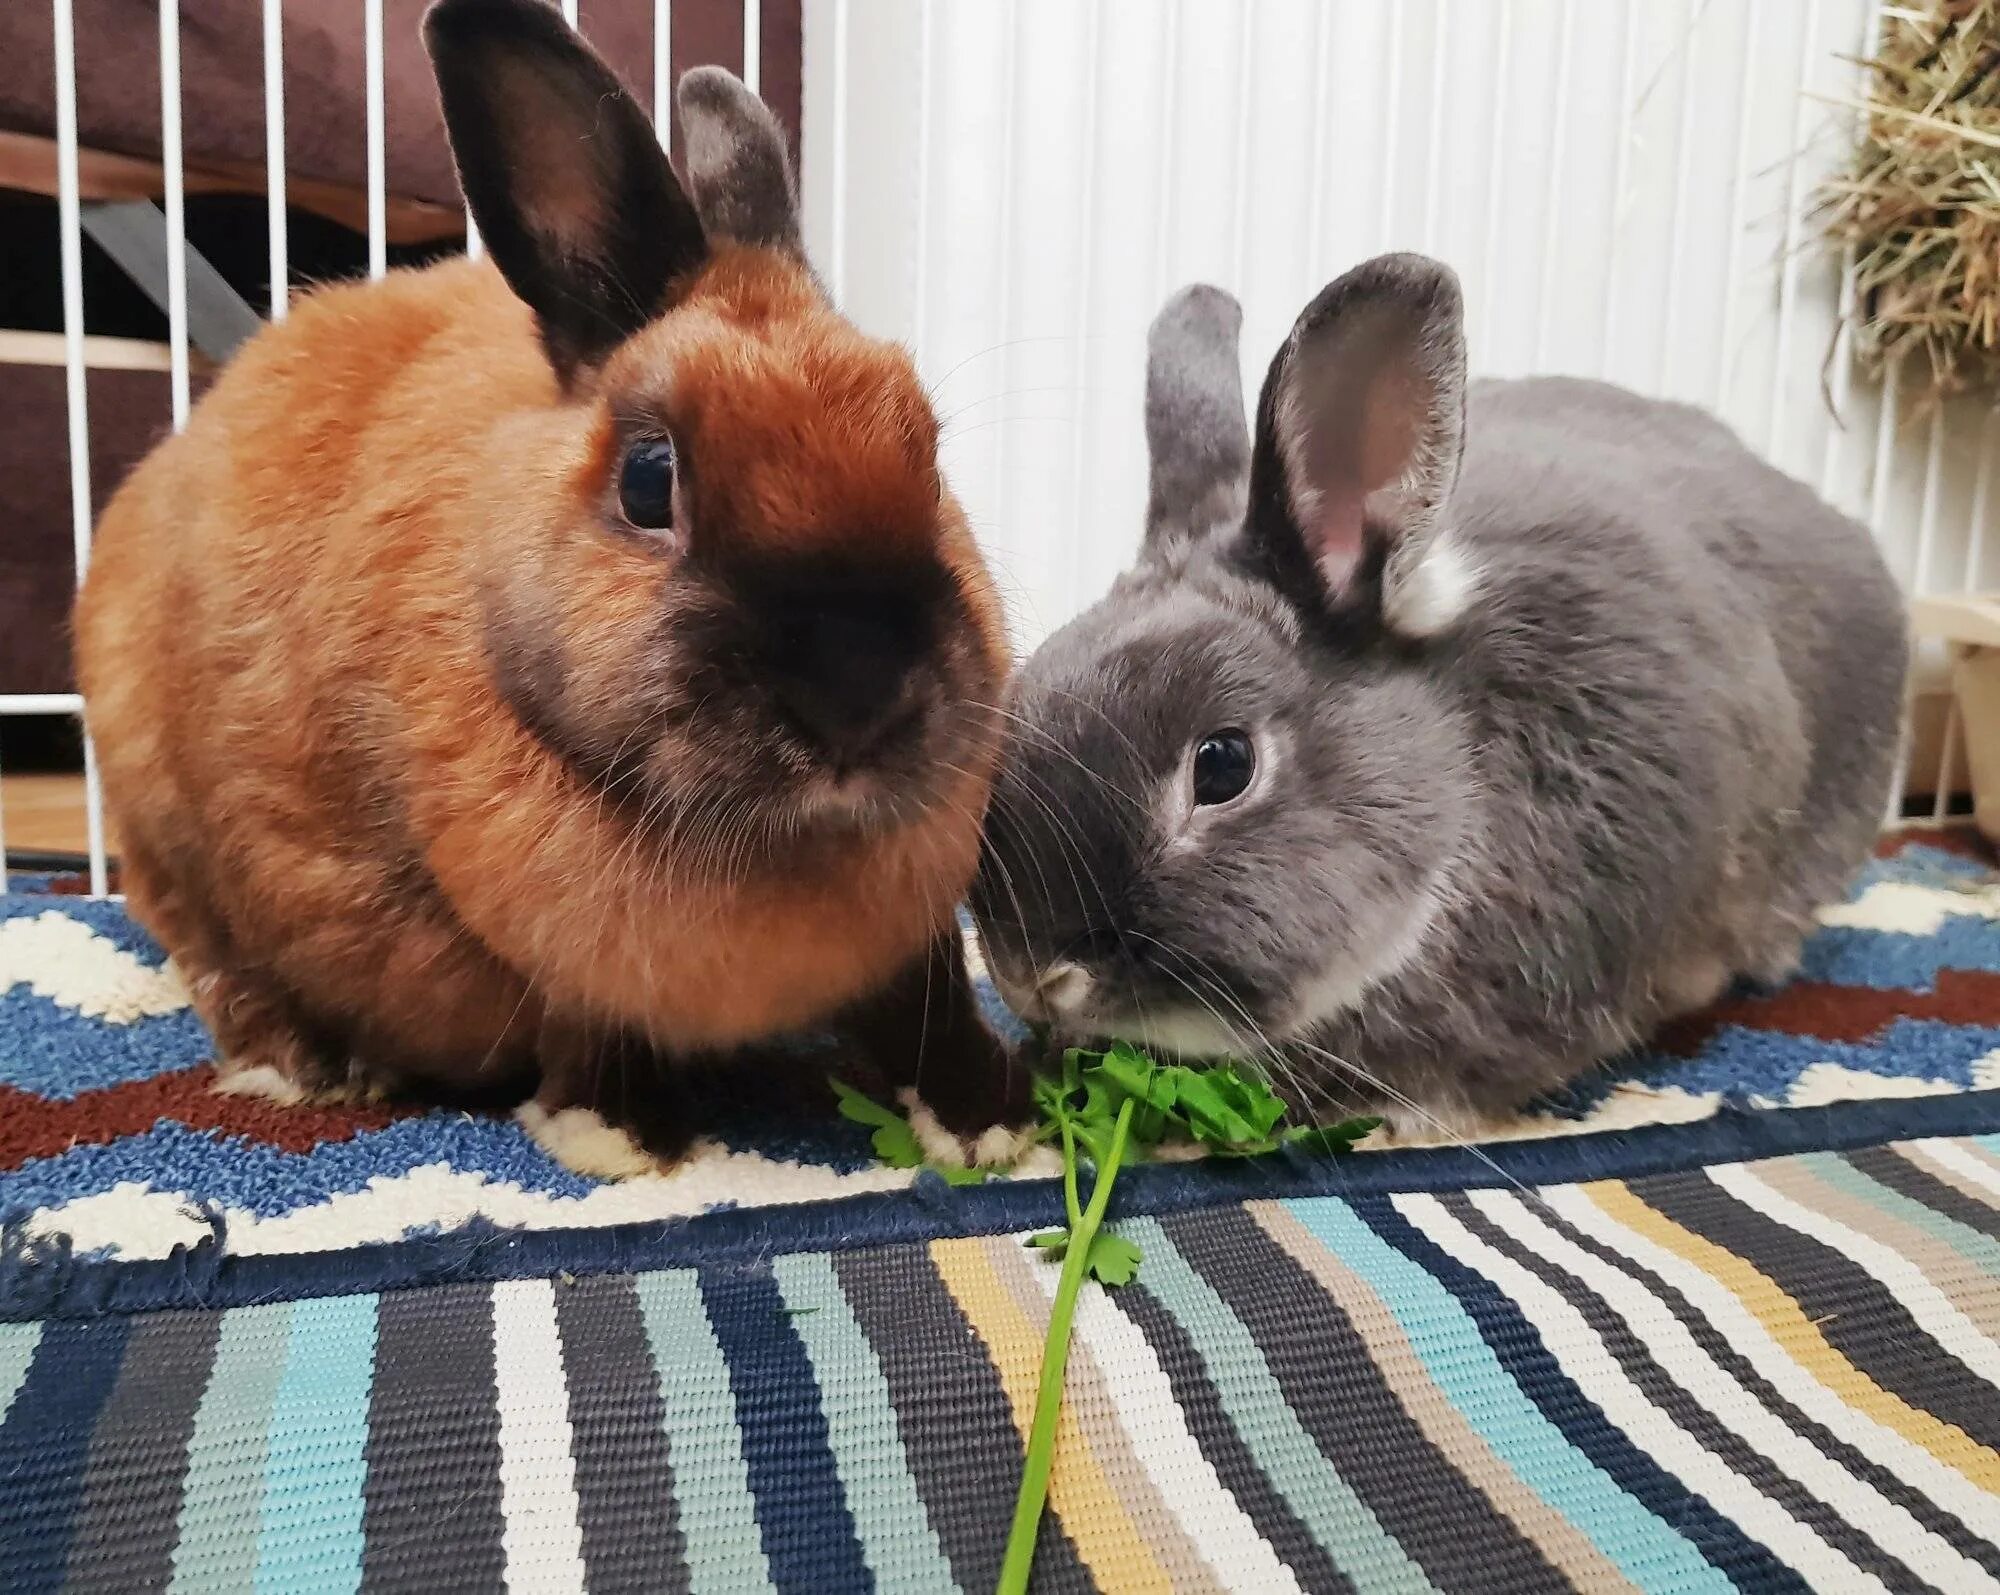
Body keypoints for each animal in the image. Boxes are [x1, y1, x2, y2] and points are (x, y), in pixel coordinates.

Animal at [70, 0, 1024, 1175]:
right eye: (650, 480)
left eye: (927, 460)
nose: (857, 697)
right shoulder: (548, 947)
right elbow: (587, 1018)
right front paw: (617, 1135)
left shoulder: (915, 930)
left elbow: (929, 1005)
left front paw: (988, 1121)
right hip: (164, 833)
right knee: (216, 959)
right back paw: (301, 1065)